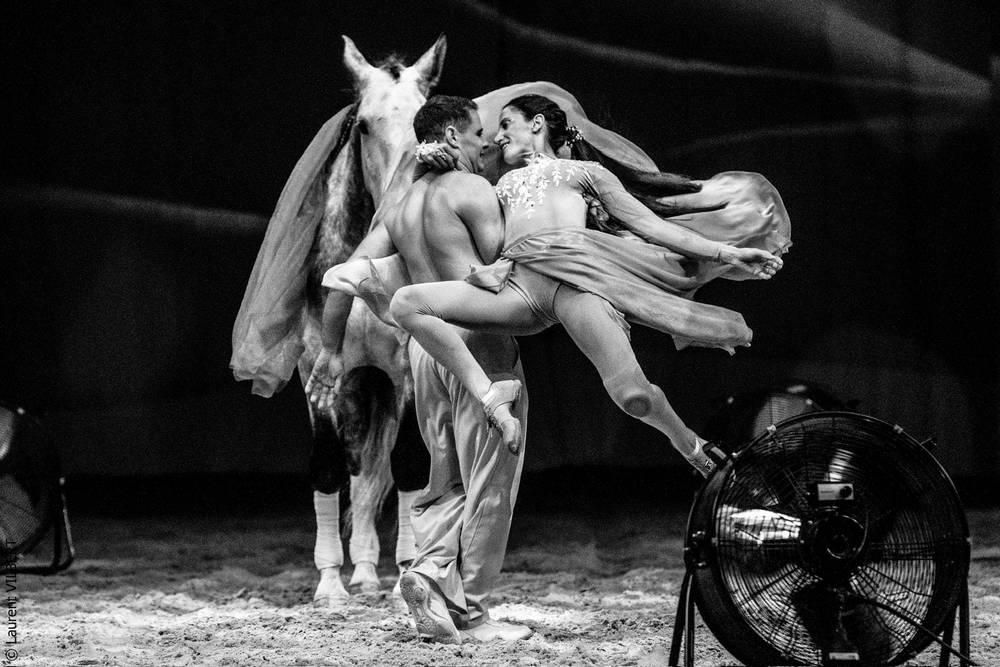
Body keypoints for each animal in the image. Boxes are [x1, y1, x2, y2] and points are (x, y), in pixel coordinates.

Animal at [231, 34, 446, 604]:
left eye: (423, 119)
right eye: (365, 124)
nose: (400, 193)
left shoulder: (403, 369)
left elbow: (406, 464)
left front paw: (405, 576)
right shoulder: (320, 374)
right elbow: (328, 467)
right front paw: (329, 586)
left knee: (374, 471)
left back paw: (375, 572)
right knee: (356, 467)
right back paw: (361, 573)